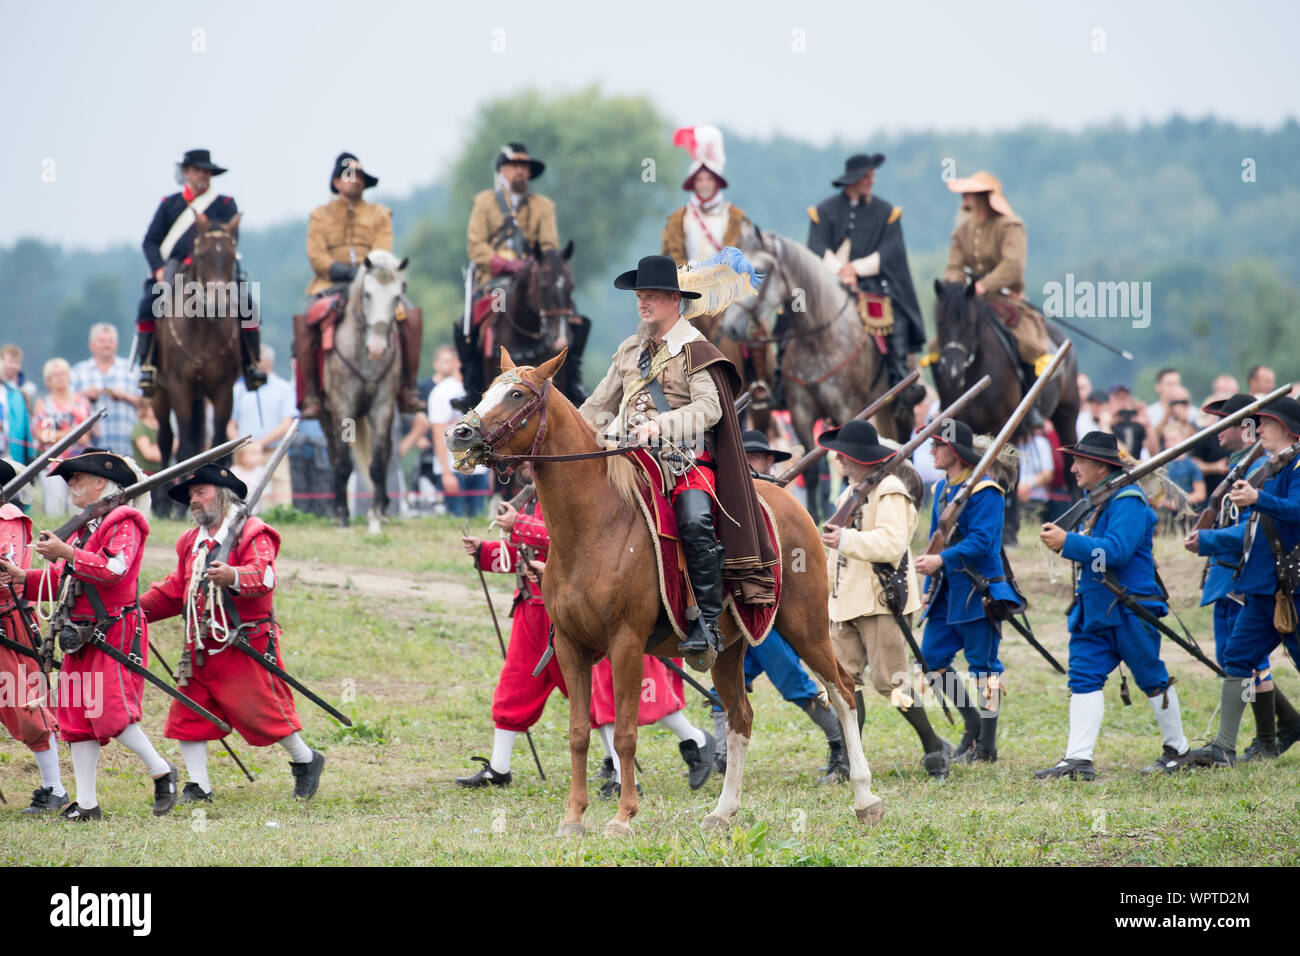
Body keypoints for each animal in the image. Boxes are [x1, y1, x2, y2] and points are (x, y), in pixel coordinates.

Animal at [153, 214, 244, 520]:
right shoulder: (179, 387)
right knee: (165, 439)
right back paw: (161, 504)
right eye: (202, 255)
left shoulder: (223, 390)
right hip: (160, 394)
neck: (203, 328)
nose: (217, 306)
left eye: (231, 256)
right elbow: (185, 447)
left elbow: (217, 442)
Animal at [319, 251, 405, 535]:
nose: (377, 347)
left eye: (397, 296)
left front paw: (376, 513)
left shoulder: (383, 407)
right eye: (366, 294)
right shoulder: (341, 407)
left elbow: (378, 464)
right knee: (335, 455)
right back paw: (337, 510)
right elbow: (343, 462)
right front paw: (343, 516)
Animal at [447, 348, 883, 832]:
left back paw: (865, 796)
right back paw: (723, 810)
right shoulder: (570, 647)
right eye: (487, 390)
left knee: (842, 691)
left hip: (806, 626)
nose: (459, 434)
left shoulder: (625, 645)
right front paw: (573, 818)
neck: (593, 525)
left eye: (518, 394)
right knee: (740, 716)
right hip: (729, 648)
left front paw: (622, 818)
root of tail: (793, 505)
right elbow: (579, 733)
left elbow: (624, 732)